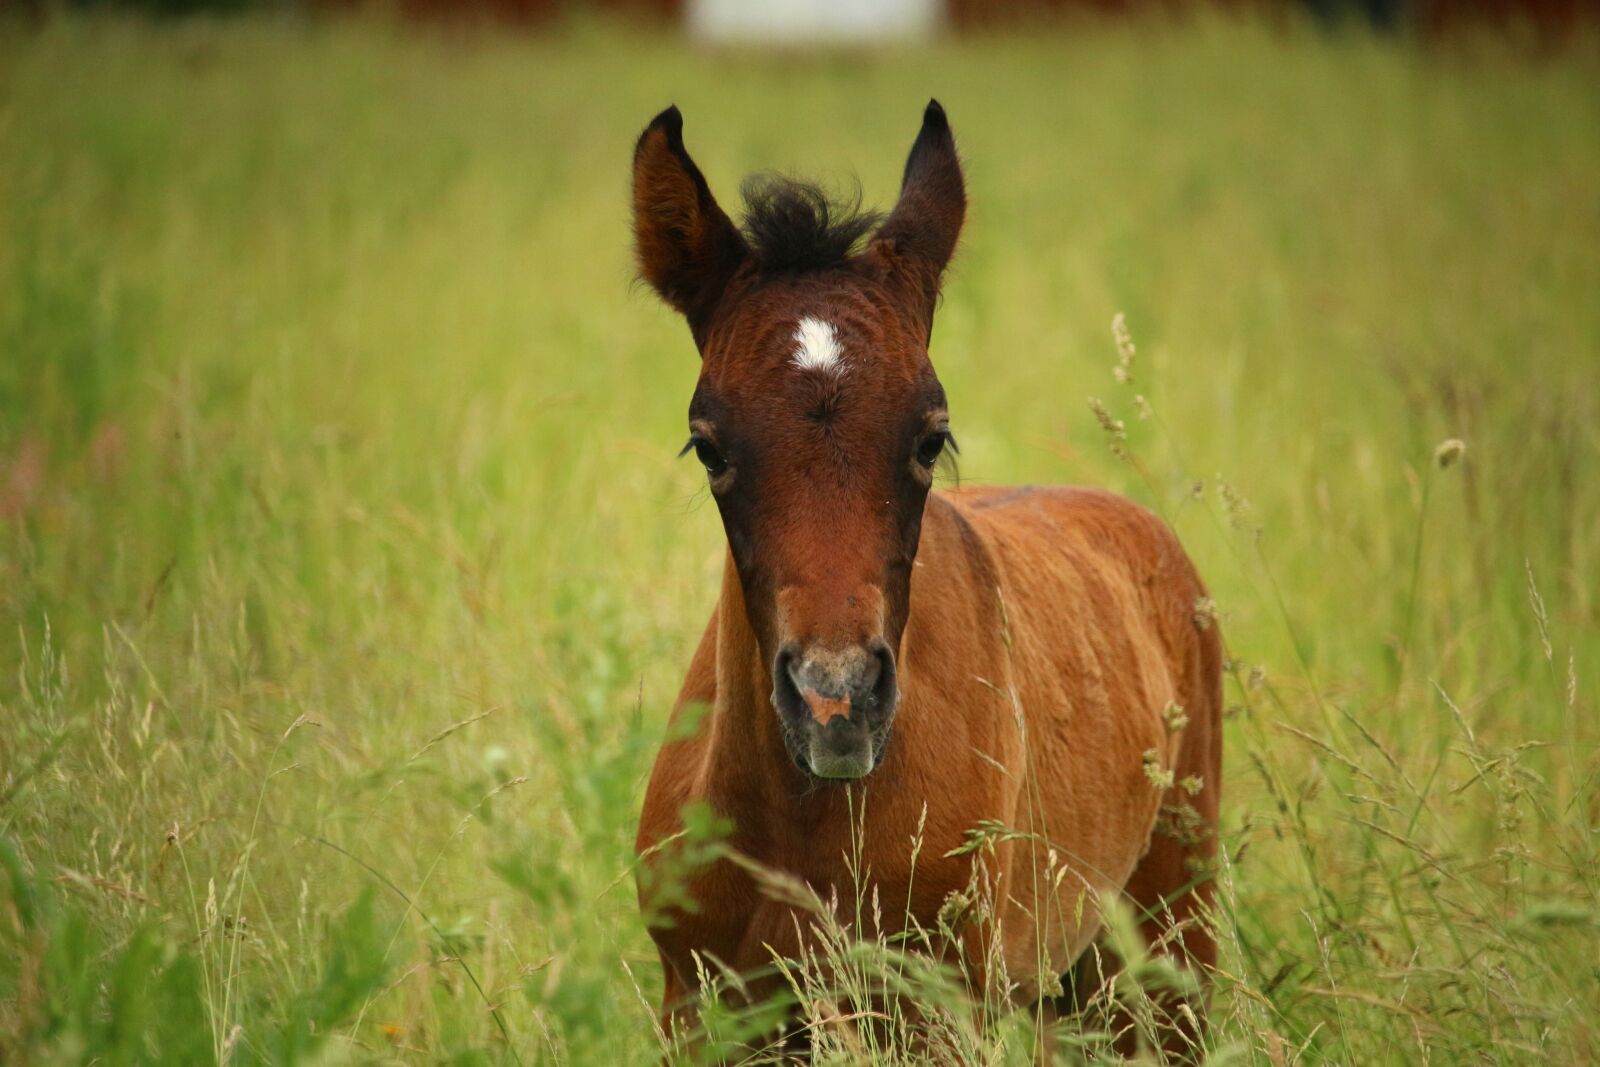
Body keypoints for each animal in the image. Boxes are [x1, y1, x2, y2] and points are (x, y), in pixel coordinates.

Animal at [631, 100, 1222, 1059]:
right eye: (707, 445)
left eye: (930, 434)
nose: (835, 701)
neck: (805, 826)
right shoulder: (705, 1006)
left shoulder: (934, 1005)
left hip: (1170, 942)